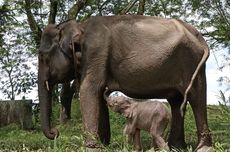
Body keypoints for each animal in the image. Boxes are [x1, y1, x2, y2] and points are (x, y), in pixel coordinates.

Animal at [37, 15, 212, 151]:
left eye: (43, 56)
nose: (55, 132)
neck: (80, 26)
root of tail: (199, 36)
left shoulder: (95, 51)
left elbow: (89, 89)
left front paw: (92, 148)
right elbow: (98, 94)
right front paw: (104, 145)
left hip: (191, 61)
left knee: (196, 97)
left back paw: (202, 148)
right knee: (176, 101)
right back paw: (177, 147)